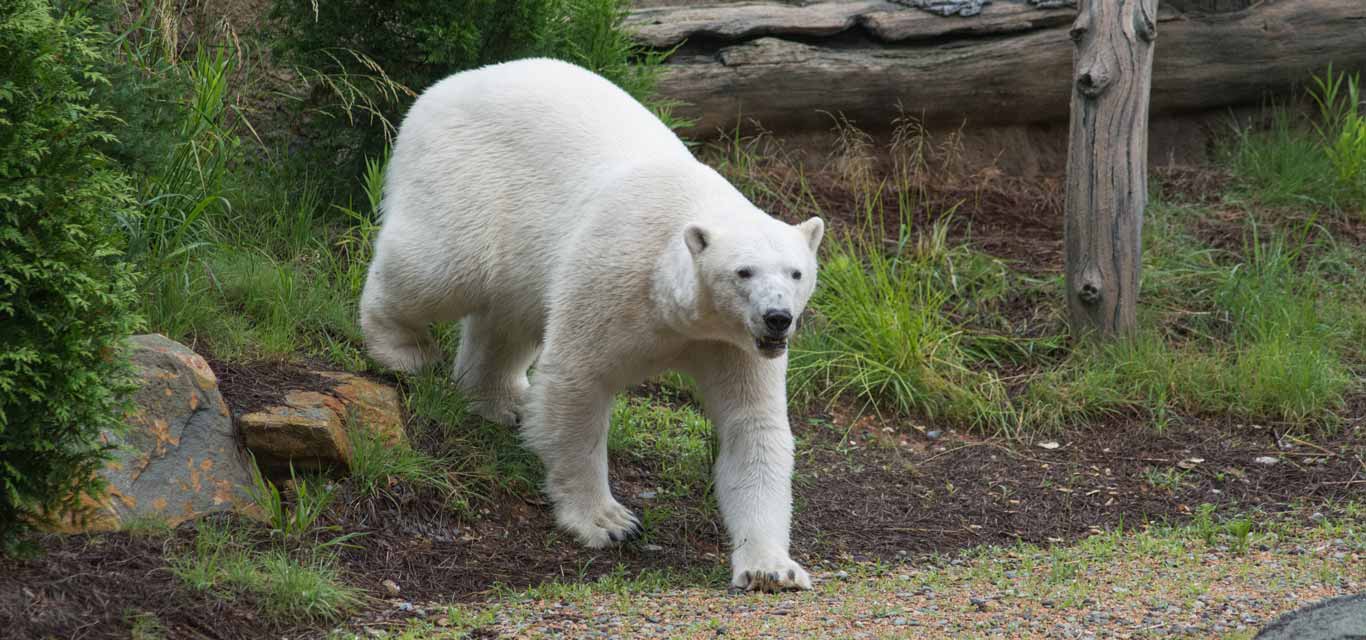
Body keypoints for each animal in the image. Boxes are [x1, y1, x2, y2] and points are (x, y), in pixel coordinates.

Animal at [357, 58, 819, 589]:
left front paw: (770, 567)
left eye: (796, 273)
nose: (778, 318)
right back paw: (401, 349)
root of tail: (440, 89)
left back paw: (498, 399)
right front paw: (608, 521)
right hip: (468, 181)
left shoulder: (734, 342)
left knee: (505, 318)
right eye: (743, 272)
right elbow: (576, 384)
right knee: (441, 268)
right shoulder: (611, 281)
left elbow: (753, 425)